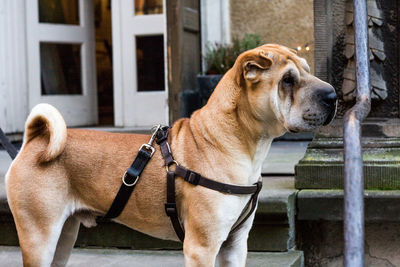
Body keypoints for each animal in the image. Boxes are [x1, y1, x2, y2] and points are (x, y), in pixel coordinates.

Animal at [5, 44, 338, 266]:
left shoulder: (234, 244)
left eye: (307, 71)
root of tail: (36, 139)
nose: (333, 95)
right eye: (288, 80)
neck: (235, 140)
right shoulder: (202, 246)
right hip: (39, 237)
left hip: (63, 236)